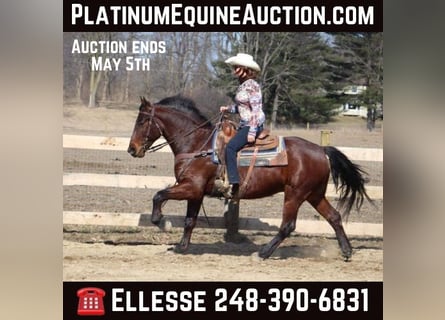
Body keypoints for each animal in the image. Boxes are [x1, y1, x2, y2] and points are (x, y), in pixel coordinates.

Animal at [127, 95, 372, 260]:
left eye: (141, 122)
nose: (132, 149)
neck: (198, 145)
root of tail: (321, 150)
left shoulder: (190, 187)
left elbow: (159, 195)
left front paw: (162, 222)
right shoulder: (196, 192)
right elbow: (189, 220)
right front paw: (181, 247)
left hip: (295, 194)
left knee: (288, 226)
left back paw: (263, 252)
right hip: (315, 194)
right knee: (334, 217)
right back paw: (347, 251)